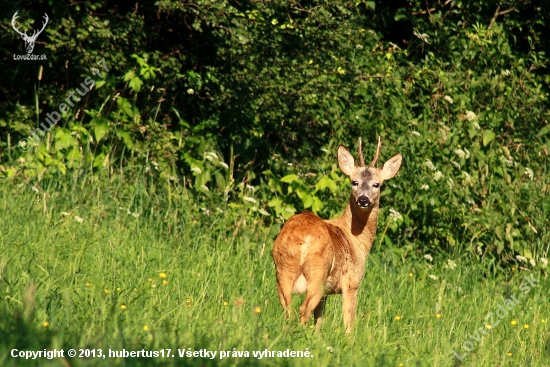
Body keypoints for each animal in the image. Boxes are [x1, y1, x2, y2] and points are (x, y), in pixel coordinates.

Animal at [274, 138, 404, 334]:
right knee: (303, 309)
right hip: (318, 272)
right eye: (354, 182)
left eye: (377, 184)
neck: (357, 240)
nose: (363, 200)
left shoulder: (326, 292)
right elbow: (349, 322)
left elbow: (319, 319)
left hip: (283, 269)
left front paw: (317, 337)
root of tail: (303, 238)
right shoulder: (352, 282)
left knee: (288, 310)